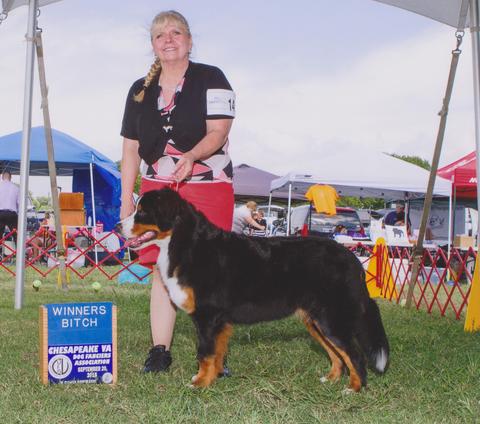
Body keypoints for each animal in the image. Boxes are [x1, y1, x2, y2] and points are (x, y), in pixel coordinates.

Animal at [120, 189, 390, 390]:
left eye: (142, 211)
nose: (118, 224)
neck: (184, 242)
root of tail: (352, 259)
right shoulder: (220, 321)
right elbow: (216, 354)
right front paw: (213, 378)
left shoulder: (208, 316)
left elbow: (204, 353)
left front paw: (199, 383)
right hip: (316, 321)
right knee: (338, 355)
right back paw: (330, 379)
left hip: (331, 318)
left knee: (354, 354)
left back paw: (354, 388)